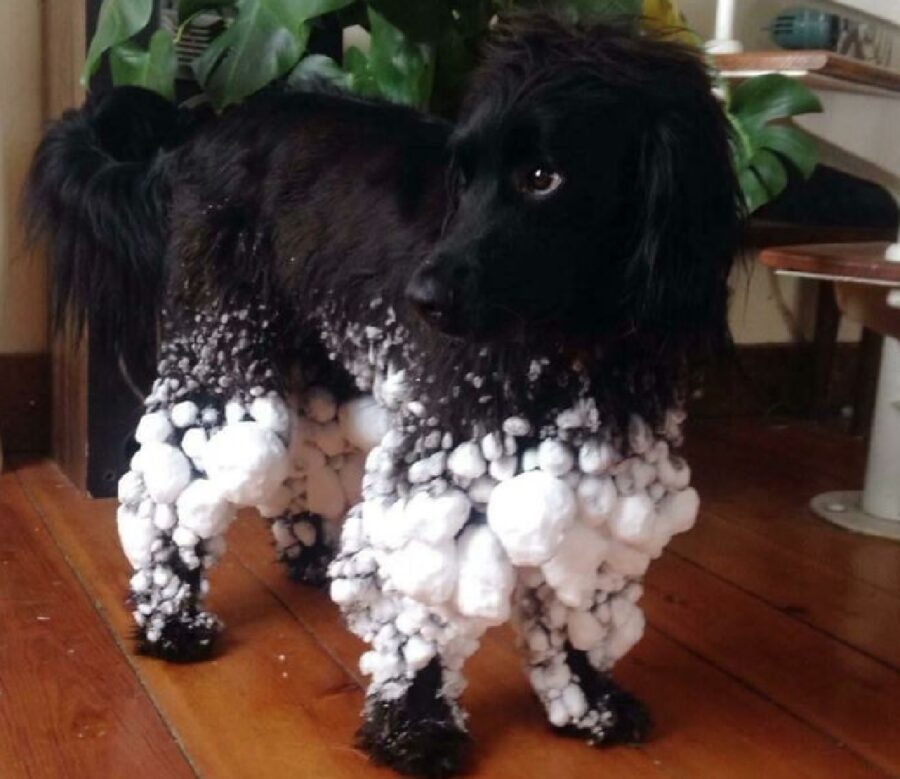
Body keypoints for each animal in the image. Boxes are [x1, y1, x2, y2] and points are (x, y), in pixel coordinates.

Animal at [26, 15, 740, 776]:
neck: (578, 345)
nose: (422, 298)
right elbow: (420, 610)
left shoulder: (588, 466)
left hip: (315, 353)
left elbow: (573, 588)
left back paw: (312, 556)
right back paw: (172, 619)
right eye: (464, 177)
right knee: (172, 486)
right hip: (220, 352)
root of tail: (199, 132)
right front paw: (416, 723)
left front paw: (587, 699)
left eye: (543, 177)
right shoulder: (443, 452)